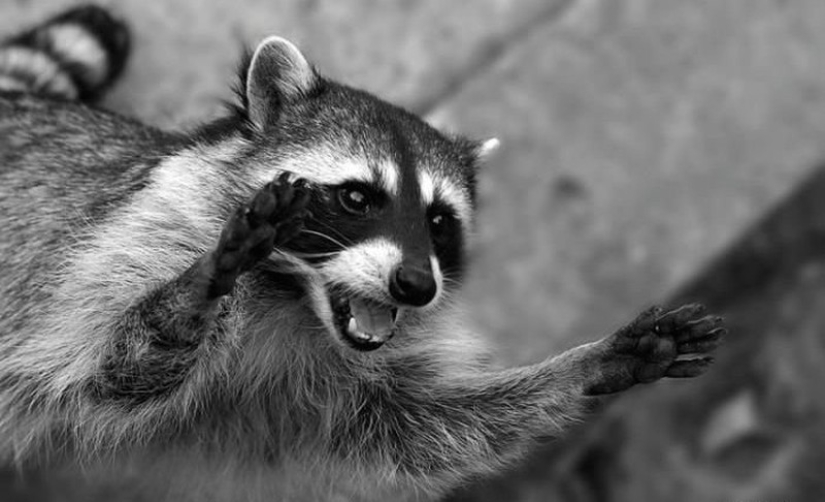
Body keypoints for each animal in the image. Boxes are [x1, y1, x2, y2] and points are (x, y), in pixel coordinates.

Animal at [0, 5, 725, 501]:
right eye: (356, 197)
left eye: (438, 221)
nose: (415, 286)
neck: (292, 298)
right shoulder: (131, 247)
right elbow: (113, 365)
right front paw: (203, 286)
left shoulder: (338, 386)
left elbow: (418, 430)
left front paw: (586, 367)